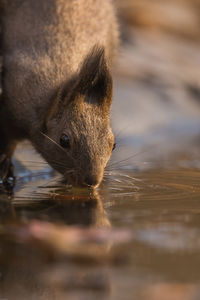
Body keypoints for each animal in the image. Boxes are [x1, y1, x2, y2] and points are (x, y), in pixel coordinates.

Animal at [0, 0, 119, 189]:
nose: (92, 181)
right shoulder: (11, 106)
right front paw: (4, 167)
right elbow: (8, 140)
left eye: (113, 144)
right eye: (64, 140)